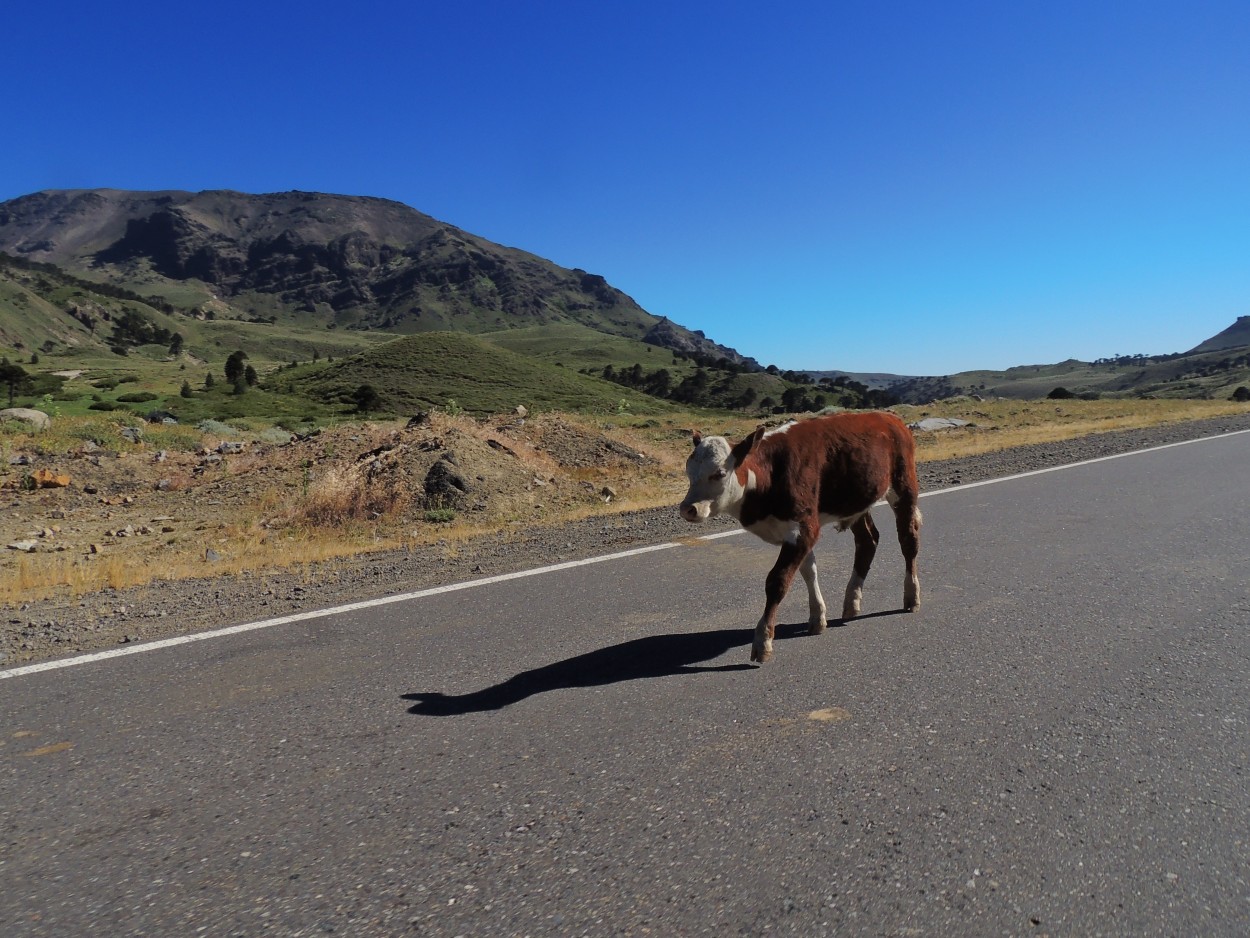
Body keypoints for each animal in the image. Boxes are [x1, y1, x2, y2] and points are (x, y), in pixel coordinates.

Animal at [680, 415, 925, 665]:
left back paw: (911, 596)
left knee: (908, 540)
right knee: (867, 541)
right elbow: (809, 570)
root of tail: (887, 417)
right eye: (688, 471)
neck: (769, 474)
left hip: (904, 487)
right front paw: (817, 618)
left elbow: (777, 581)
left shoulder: (804, 528)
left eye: (719, 473)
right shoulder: (798, 533)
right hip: (857, 502)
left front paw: (763, 640)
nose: (687, 509)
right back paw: (852, 602)